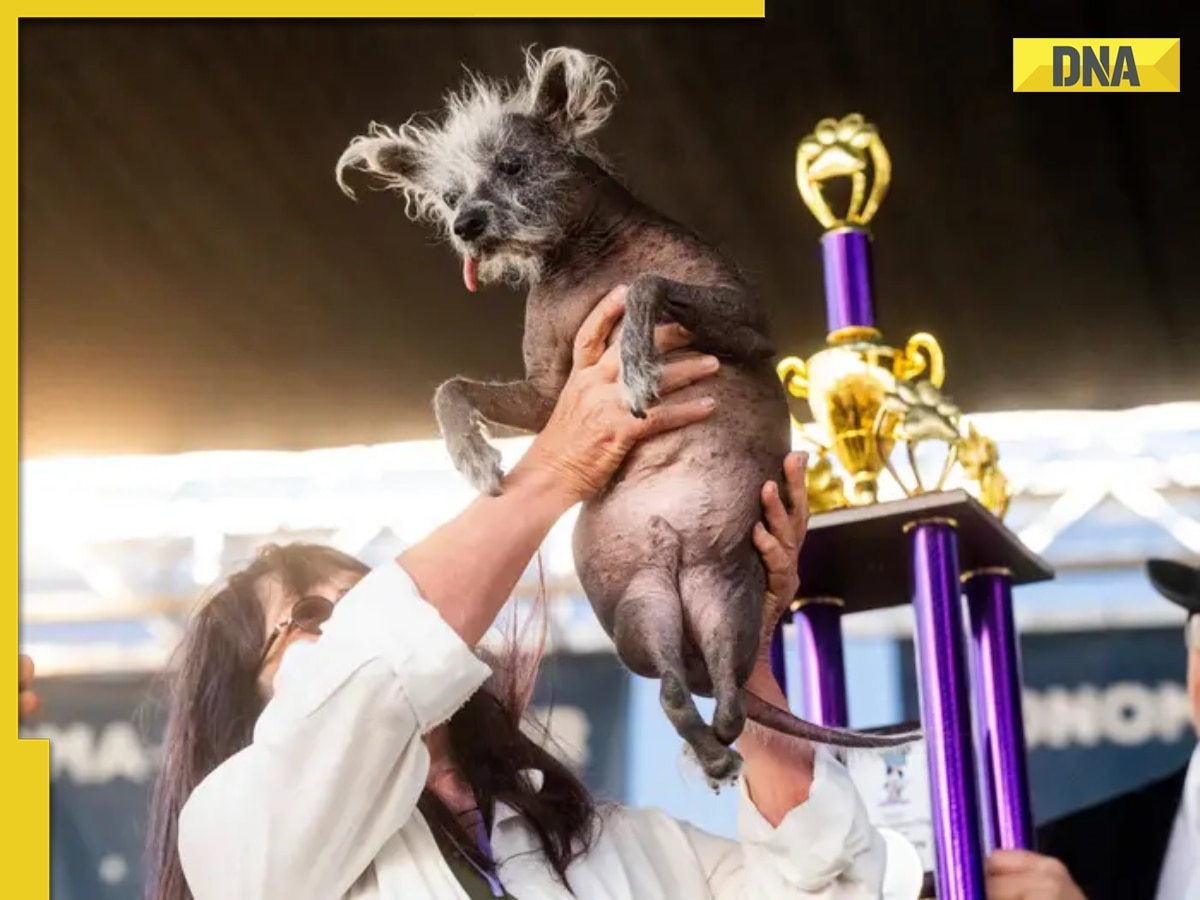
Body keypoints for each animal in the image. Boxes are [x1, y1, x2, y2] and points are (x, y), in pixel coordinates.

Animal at [338, 45, 916, 787]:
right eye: (448, 197)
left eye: (512, 166)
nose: (466, 225)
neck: (585, 255)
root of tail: (677, 565)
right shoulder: (550, 396)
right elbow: (449, 388)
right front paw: (473, 456)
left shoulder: (750, 327)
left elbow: (647, 283)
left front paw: (639, 363)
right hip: (647, 611)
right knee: (680, 693)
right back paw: (711, 752)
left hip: (725, 596)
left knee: (726, 695)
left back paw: (717, 747)